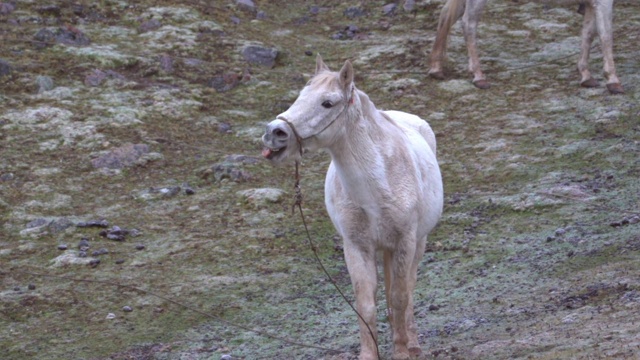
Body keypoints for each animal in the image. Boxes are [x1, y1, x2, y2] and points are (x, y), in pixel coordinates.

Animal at [262, 54, 442, 358]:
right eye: (300, 96)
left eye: (327, 102)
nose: (274, 133)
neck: (376, 187)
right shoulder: (357, 247)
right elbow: (366, 306)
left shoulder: (405, 242)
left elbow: (401, 297)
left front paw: (402, 351)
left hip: (418, 242)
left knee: (408, 288)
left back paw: (412, 342)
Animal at [428, 0, 624, 94]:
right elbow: (606, 36)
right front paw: (612, 80)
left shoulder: (591, 5)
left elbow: (588, 34)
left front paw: (585, 75)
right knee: (468, 24)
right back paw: (478, 76)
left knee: (446, 15)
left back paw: (436, 68)